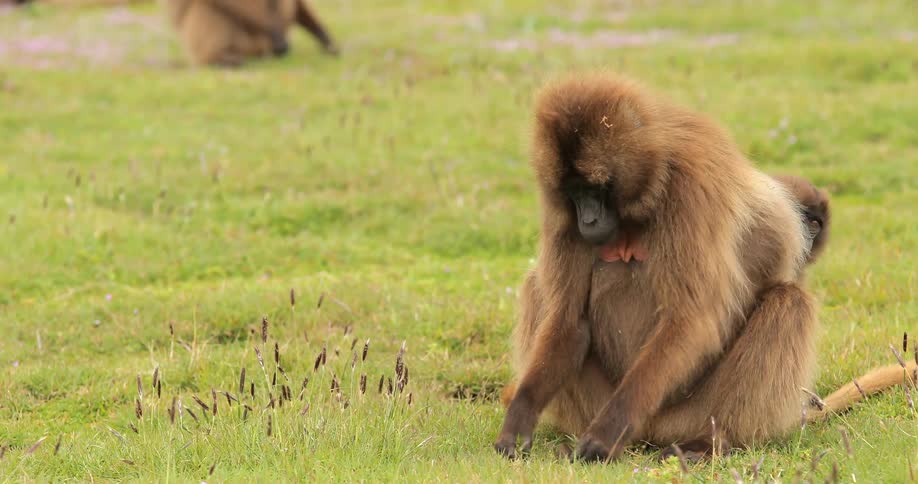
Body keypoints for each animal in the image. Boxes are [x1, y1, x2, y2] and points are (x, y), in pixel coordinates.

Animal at [494, 73, 916, 462]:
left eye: (596, 189)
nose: (588, 221)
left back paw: (713, 442)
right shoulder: (558, 214)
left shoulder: (691, 186)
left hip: (692, 410)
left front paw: (605, 434)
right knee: (537, 288)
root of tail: (650, 432)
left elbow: (691, 318)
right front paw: (519, 418)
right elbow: (568, 319)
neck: (650, 179)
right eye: (574, 193)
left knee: (788, 302)